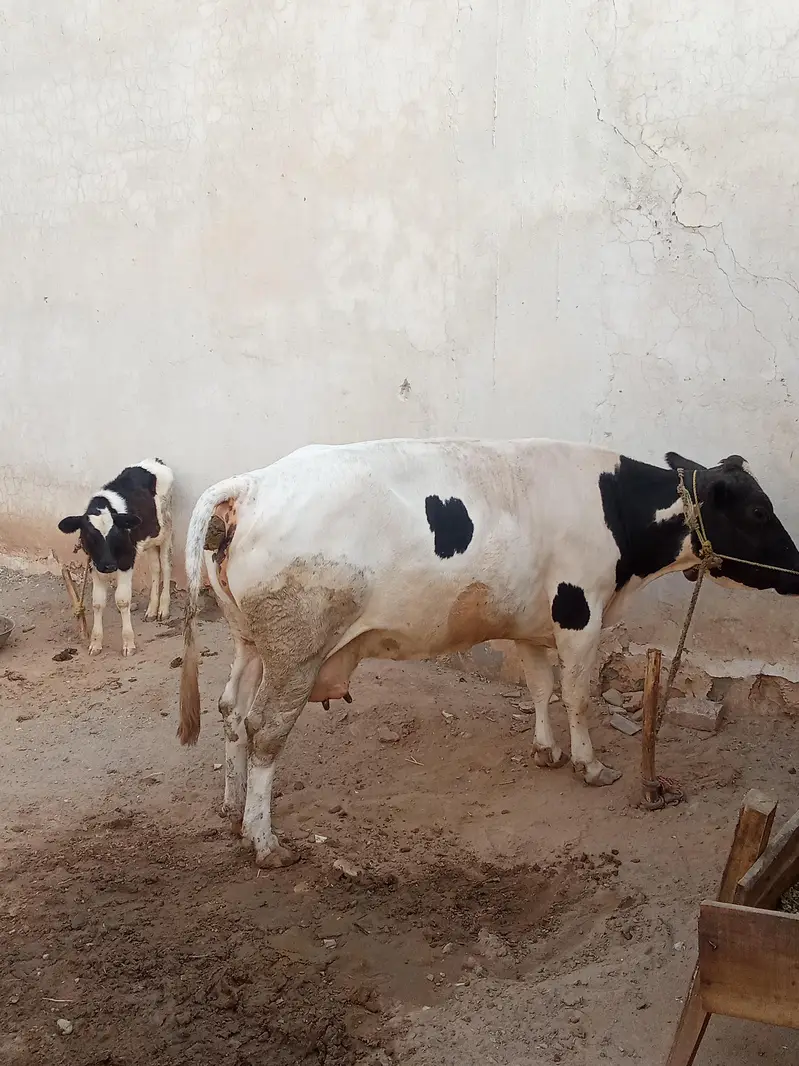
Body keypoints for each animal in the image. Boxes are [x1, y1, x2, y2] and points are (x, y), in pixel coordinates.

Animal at [58, 459, 174, 656]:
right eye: (89, 536)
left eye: (116, 535)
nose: (109, 566)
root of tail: (155, 461)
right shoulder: (94, 564)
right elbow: (97, 602)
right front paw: (95, 643)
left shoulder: (127, 560)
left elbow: (122, 600)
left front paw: (128, 642)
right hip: (150, 537)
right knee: (155, 568)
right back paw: (152, 609)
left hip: (165, 530)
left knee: (165, 566)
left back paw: (163, 609)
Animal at [176, 439, 799, 868]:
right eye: (759, 512)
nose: (797, 570)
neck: (615, 511)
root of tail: (250, 484)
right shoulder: (581, 612)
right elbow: (577, 695)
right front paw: (590, 765)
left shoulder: (532, 622)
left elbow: (541, 688)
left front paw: (546, 751)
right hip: (297, 649)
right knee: (264, 729)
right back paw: (264, 841)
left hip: (252, 641)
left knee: (232, 713)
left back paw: (232, 812)